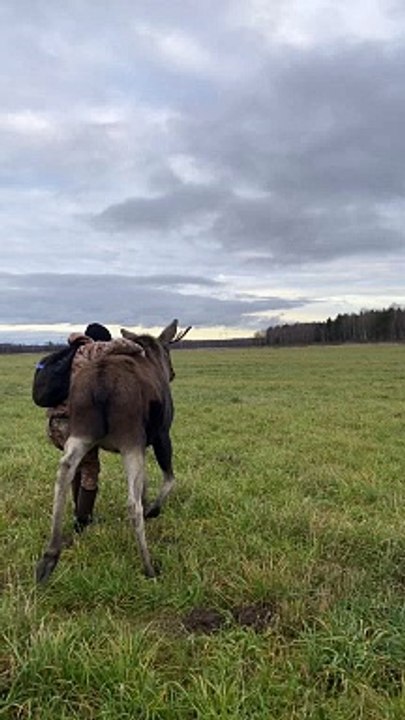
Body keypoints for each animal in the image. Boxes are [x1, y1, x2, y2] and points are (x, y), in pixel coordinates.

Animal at [36, 319, 191, 583]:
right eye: (168, 350)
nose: (172, 372)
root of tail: (101, 385)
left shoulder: (144, 443)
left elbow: (146, 483)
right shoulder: (160, 435)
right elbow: (169, 479)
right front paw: (153, 510)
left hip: (82, 433)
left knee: (65, 471)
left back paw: (50, 556)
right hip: (130, 438)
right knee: (131, 504)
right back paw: (149, 567)